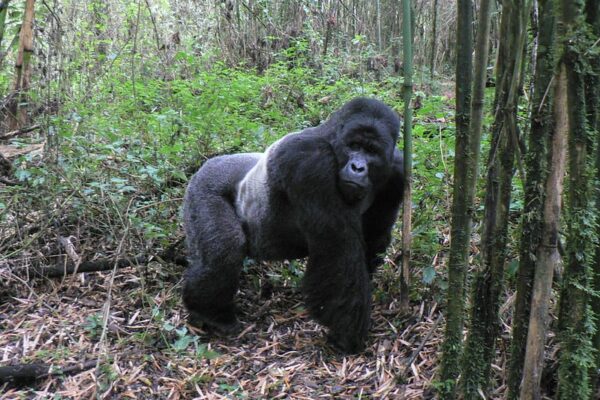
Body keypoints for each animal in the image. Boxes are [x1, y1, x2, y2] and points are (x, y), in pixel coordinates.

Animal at [183, 97, 404, 354]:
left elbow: (375, 234)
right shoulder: (310, 161)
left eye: (371, 151)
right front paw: (347, 336)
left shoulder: (397, 170)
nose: (358, 167)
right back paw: (210, 311)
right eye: (354, 146)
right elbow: (338, 249)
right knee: (226, 249)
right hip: (204, 185)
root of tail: (207, 163)